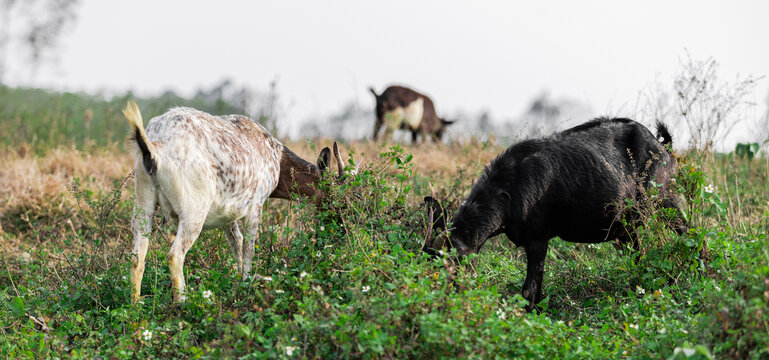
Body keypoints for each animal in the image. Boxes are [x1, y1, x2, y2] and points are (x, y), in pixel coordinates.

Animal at [124, 102, 348, 304]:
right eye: (336, 199)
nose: (342, 230)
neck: (277, 158)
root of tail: (154, 148)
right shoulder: (256, 203)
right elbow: (249, 247)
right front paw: (248, 282)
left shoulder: (227, 212)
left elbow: (236, 242)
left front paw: (239, 281)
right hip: (194, 208)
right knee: (175, 254)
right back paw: (182, 303)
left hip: (143, 200)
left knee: (137, 255)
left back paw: (135, 306)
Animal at [426, 116, 684, 310]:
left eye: (454, 262)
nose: (441, 299)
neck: (508, 188)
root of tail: (662, 147)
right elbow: (537, 288)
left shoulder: (537, 239)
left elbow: (529, 289)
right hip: (626, 231)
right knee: (638, 257)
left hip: (667, 201)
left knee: (688, 232)